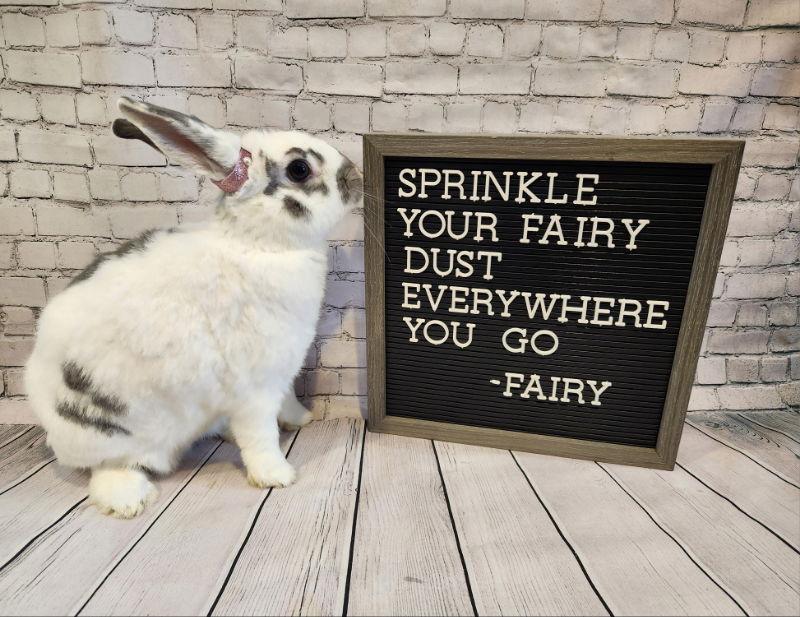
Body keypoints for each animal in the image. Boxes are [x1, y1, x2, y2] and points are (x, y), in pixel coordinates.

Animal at [24, 97, 363, 518]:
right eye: (299, 169)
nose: (357, 178)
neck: (257, 244)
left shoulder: (280, 377)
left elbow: (287, 403)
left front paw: (302, 419)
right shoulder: (255, 387)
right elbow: (260, 435)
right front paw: (277, 476)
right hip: (105, 432)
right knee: (106, 468)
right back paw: (130, 499)